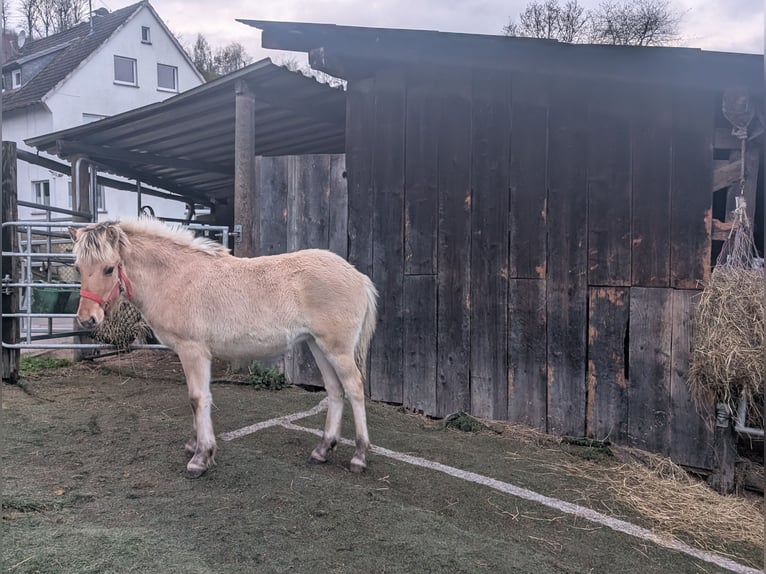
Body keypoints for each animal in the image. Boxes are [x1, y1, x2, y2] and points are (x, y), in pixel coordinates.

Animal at [68, 218, 378, 478]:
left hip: (337, 349)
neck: (176, 277)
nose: (87, 319)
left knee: (354, 388)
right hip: (317, 345)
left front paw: (201, 457)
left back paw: (359, 456)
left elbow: (198, 398)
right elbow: (195, 399)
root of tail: (358, 277)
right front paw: (193, 445)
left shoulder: (193, 351)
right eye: (78, 268)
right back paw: (322, 450)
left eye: (109, 268)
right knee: (335, 391)